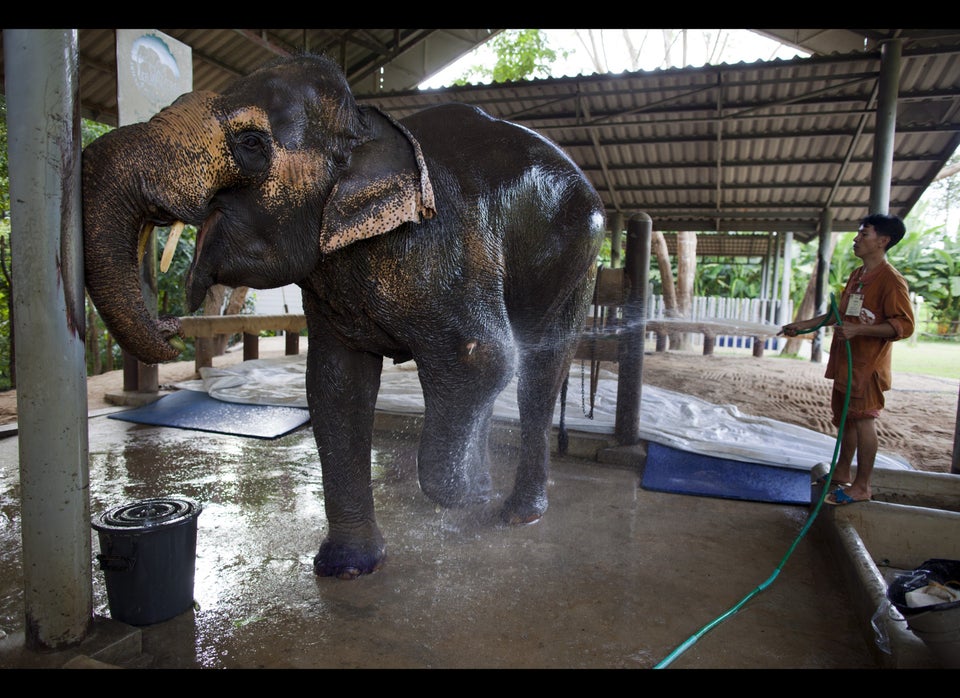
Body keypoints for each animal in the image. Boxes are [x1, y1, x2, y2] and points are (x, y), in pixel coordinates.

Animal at [84, 53, 608, 576]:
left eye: (250, 142)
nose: (171, 328)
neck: (365, 128)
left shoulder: (444, 250)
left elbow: (481, 359)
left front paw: (465, 497)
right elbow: (336, 383)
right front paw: (348, 568)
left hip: (580, 261)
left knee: (539, 372)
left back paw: (517, 513)